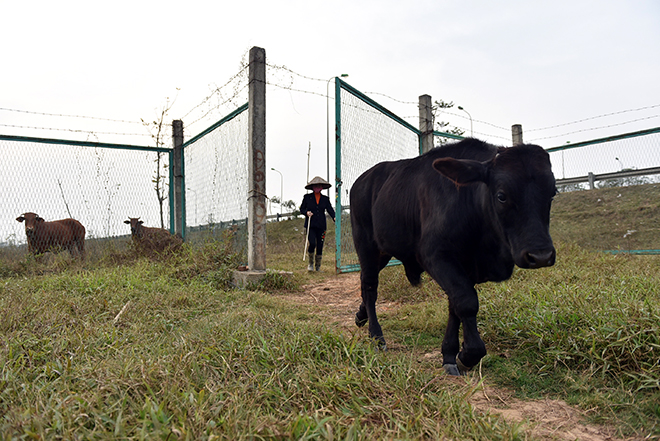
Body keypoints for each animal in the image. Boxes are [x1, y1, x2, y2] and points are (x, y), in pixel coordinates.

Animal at [350, 138, 556, 374]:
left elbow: (454, 306)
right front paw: (468, 354)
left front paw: (449, 352)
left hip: (382, 253)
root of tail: (362, 180)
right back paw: (376, 336)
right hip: (366, 245)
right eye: (502, 196)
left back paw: (361, 315)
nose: (541, 255)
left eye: (553, 192)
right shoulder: (436, 256)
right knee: (369, 286)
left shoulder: (464, 268)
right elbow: (466, 303)